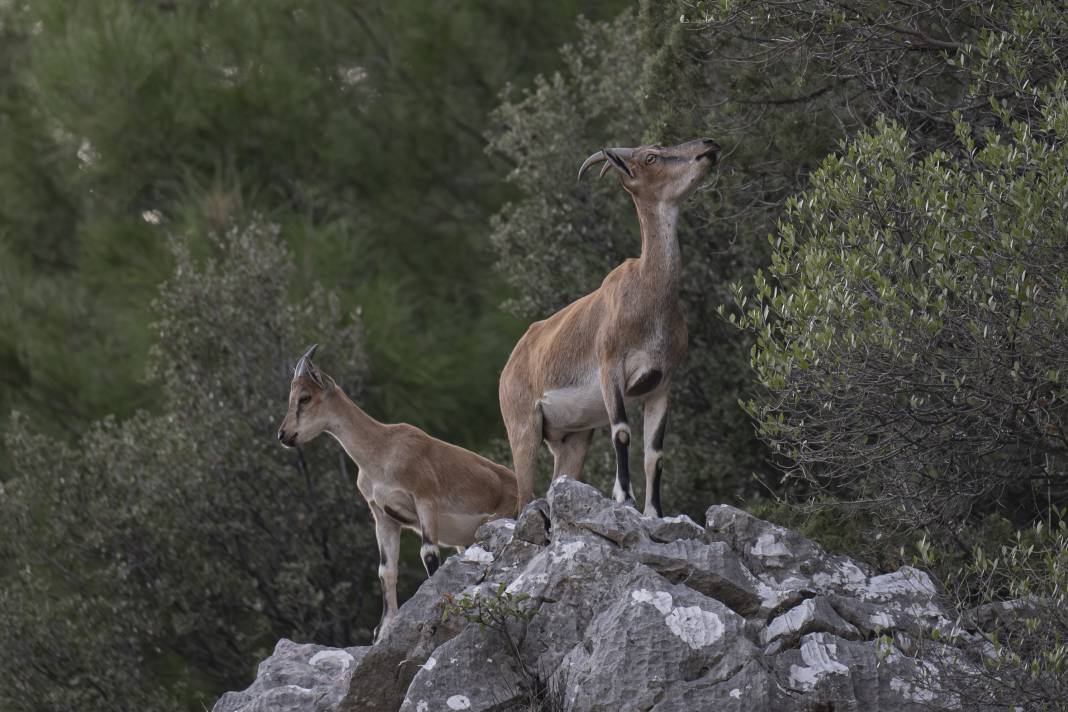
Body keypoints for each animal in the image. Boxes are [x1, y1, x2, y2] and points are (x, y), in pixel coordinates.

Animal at [275, 345, 516, 640]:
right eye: (292, 397)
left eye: (305, 398)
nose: (284, 435)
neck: (382, 449)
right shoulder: (383, 516)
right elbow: (386, 570)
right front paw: (383, 631)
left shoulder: (425, 498)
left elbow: (429, 553)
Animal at [497, 137, 717, 518]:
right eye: (651, 157)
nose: (708, 145)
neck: (648, 298)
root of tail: (509, 366)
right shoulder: (610, 367)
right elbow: (622, 432)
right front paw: (625, 498)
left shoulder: (662, 384)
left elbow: (655, 454)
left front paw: (654, 512)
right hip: (523, 425)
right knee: (524, 495)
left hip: (573, 438)